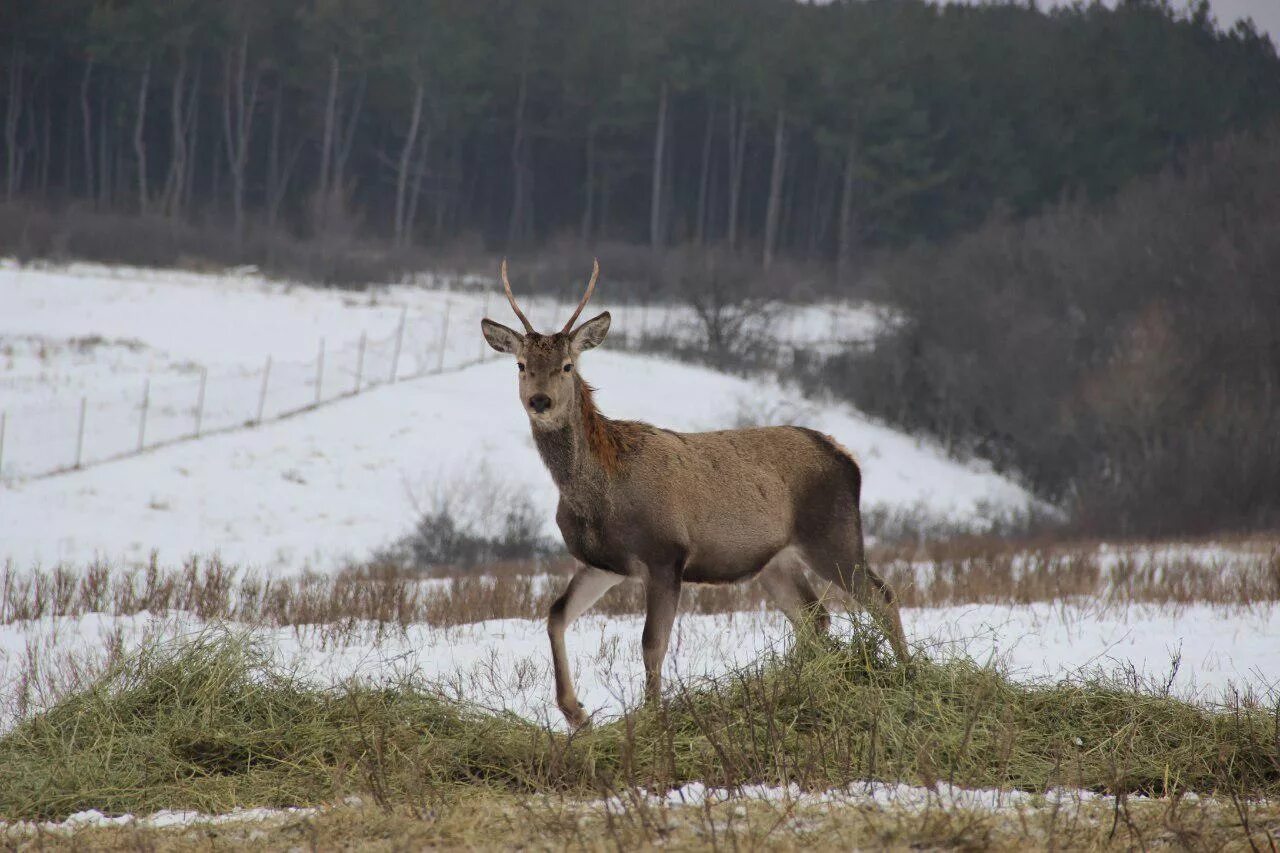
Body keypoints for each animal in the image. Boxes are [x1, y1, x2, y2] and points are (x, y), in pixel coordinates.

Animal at [481, 258, 911, 722]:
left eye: (567, 366)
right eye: (521, 364)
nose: (539, 401)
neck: (599, 495)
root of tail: (847, 458)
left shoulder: (665, 553)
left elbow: (652, 643)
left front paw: (651, 716)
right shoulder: (602, 563)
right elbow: (556, 615)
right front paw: (576, 712)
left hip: (832, 534)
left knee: (881, 595)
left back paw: (911, 675)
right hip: (775, 561)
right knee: (814, 616)